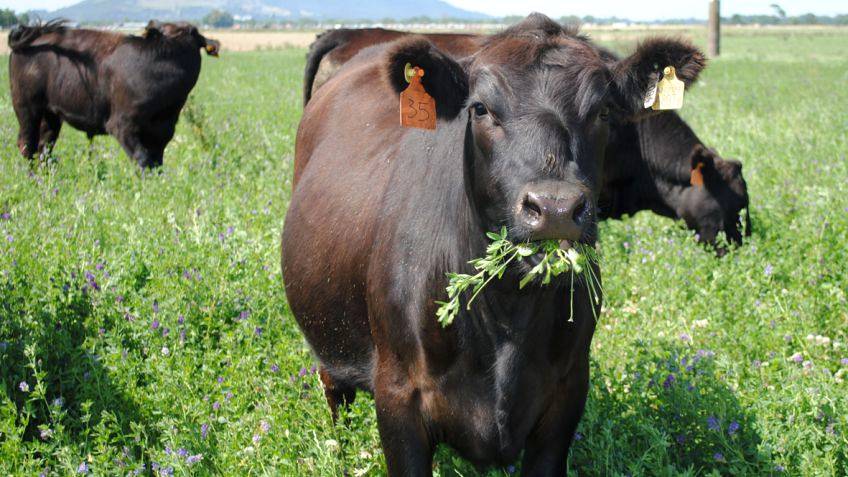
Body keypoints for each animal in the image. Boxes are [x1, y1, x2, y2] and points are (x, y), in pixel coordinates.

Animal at [7, 20, 219, 169]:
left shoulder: (163, 132)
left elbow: (156, 163)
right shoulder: (122, 124)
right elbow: (142, 159)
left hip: (50, 114)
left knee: (44, 147)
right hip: (26, 107)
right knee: (27, 145)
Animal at [282, 13, 704, 474]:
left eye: (603, 110)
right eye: (480, 108)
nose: (555, 208)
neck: (506, 312)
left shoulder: (567, 395)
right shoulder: (398, 397)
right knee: (334, 392)